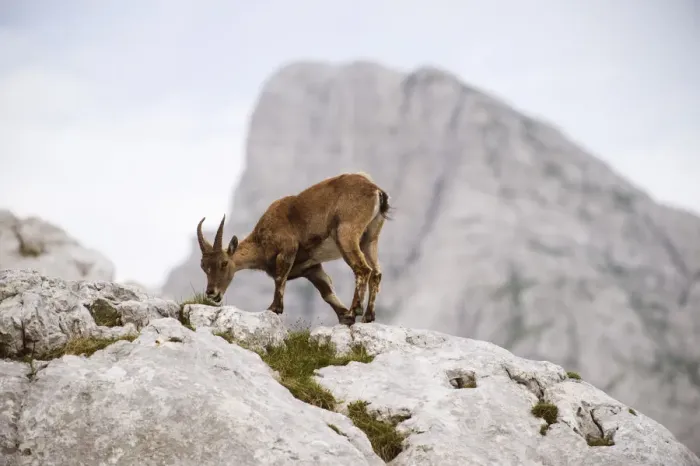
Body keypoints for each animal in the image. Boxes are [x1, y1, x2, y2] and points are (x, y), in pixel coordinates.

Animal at [196, 172, 392, 326]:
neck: (261, 241)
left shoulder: (287, 249)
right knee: (376, 273)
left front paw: (274, 308)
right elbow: (327, 293)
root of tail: (375, 190)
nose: (211, 293)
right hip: (370, 238)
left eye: (224, 263)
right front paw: (345, 317)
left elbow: (279, 279)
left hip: (346, 234)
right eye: (203, 267)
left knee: (363, 269)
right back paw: (367, 316)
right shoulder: (311, 268)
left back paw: (355, 310)